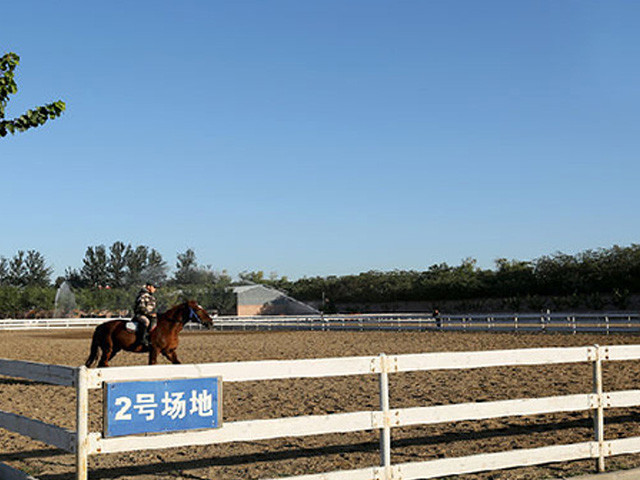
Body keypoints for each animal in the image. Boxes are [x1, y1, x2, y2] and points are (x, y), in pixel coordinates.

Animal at [84, 300, 215, 368]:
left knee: (102, 364)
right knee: (103, 363)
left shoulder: (169, 352)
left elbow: (177, 363)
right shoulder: (155, 350)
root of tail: (100, 326)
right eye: (198, 309)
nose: (210, 322)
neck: (169, 327)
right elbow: (152, 364)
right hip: (108, 349)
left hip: (114, 350)